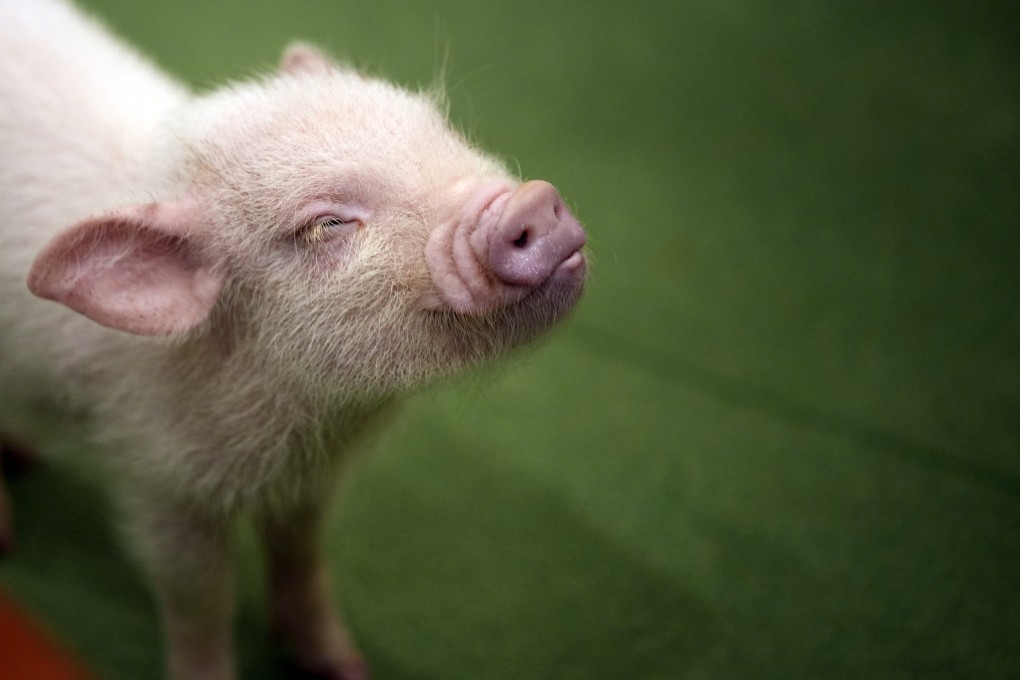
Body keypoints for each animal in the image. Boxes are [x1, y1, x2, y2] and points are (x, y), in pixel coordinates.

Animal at [0, 0, 587, 678]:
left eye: (443, 131)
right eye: (326, 225)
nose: (532, 202)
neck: (304, 423)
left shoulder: (312, 482)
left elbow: (302, 556)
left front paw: (346, 665)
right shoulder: (161, 479)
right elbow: (200, 598)